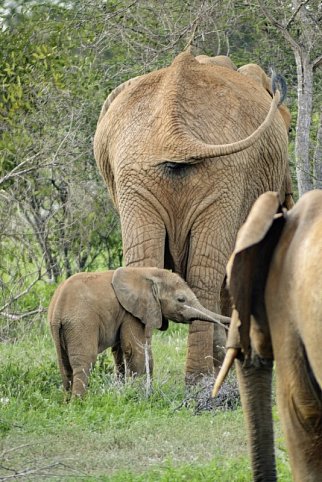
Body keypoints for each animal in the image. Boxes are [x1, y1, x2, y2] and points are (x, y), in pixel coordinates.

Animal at [49, 268, 224, 396]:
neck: (147, 272)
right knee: (84, 361)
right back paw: (79, 402)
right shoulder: (131, 313)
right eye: (181, 300)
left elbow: (120, 351)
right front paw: (139, 394)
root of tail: (58, 309)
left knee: (64, 363)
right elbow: (134, 349)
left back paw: (67, 402)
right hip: (81, 323)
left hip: (62, 328)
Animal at [93, 50, 290, 384]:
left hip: (141, 175)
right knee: (205, 273)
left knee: (145, 263)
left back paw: (140, 380)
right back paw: (200, 377)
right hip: (219, 175)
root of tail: (174, 132)